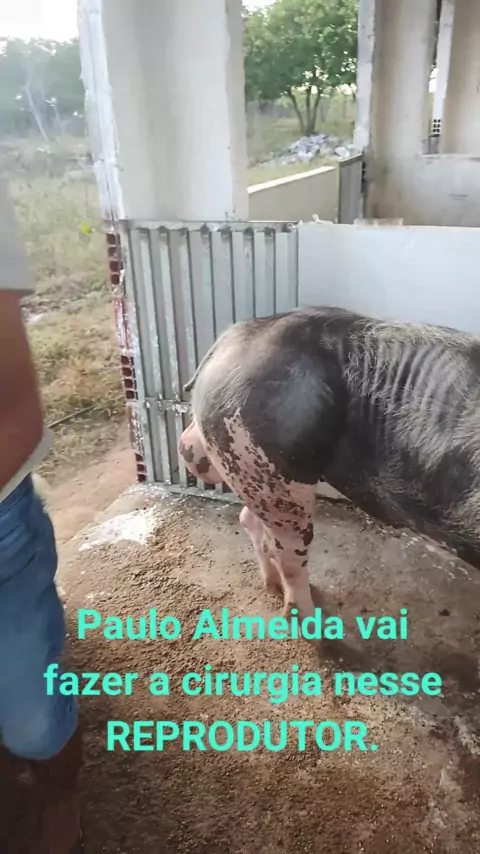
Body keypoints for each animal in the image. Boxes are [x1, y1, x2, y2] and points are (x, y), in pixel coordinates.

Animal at [178, 306, 480, 628]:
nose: (184, 442)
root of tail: (230, 336)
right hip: (274, 468)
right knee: (288, 551)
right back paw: (314, 626)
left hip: (253, 469)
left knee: (253, 522)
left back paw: (274, 587)